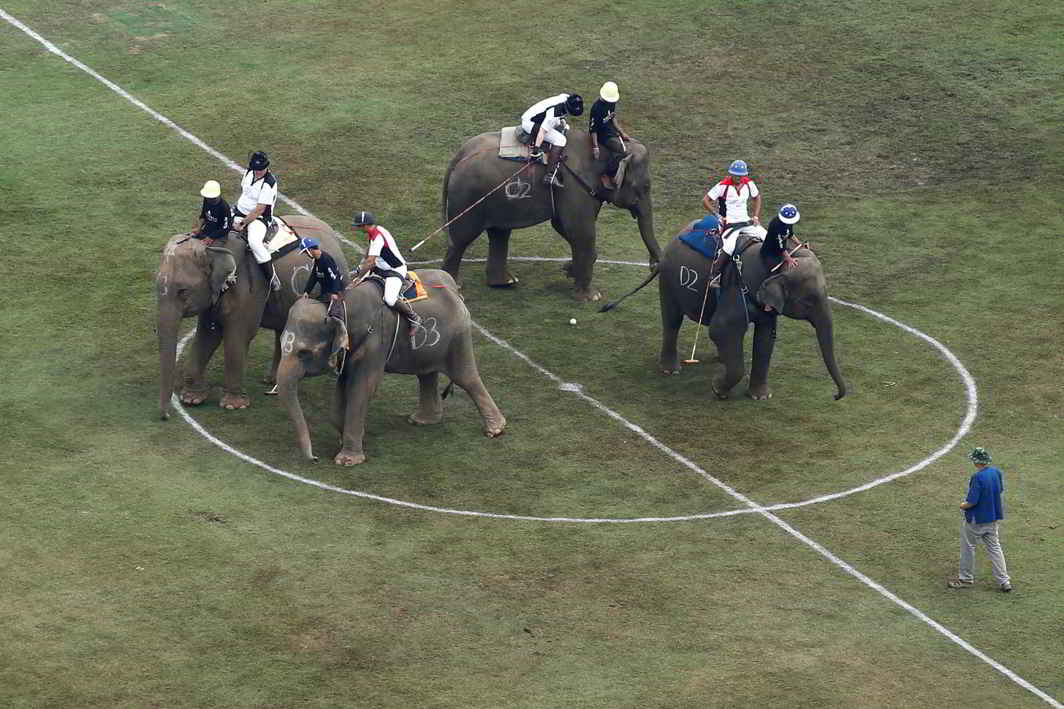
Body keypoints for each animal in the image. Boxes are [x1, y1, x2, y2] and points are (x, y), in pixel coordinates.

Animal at [155, 215, 346, 419]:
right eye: (156, 286)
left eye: (183, 291)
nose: (166, 416)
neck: (213, 246)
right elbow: (207, 334)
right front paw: (192, 399)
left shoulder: (249, 288)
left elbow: (238, 336)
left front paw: (233, 406)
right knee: (282, 332)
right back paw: (272, 384)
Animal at [274, 266, 506, 464]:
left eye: (304, 353)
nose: (314, 459)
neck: (339, 305)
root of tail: (453, 287)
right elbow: (343, 385)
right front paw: (342, 437)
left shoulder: (376, 339)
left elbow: (364, 386)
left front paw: (347, 460)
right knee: (427, 373)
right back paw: (422, 421)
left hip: (458, 336)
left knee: (465, 377)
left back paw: (495, 430)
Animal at [438, 128, 655, 300]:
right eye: (644, 187)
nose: (653, 266)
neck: (605, 149)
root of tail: (459, 155)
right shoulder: (573, 186)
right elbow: (579, 231)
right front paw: (592, 297)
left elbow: (563, 226)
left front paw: (569, 270)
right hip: (469, 198)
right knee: (460, 240)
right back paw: (455, 290)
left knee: (499, 234)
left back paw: (506, 282)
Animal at [604, 218, 842, 400]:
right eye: (808, 301)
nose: (835, 396)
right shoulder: (735, 287)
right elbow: (721, 329)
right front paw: (718, 390)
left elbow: (765, 339)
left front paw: (760, 396)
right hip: (669, 281)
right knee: (672, 320)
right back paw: (671, 370)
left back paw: (720, 359)